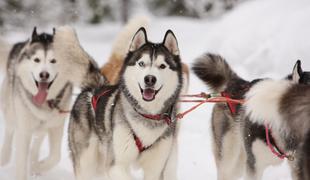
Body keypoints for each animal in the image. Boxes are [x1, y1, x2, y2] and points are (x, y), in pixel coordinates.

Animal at [0, 27, 73, 179]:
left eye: (53, 61)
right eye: (37, 60)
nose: (44, 75)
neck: (44, 103)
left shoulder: (56, 126)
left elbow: (55, 156)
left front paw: (37, 166)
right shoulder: (24, 130)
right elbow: (21, 162)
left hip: (43, 127)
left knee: (37, 142)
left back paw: (33, 162)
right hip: (11, 111)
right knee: (9, 131)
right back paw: (4, 158)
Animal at [68, 27, 182, 180]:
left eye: (162, 66)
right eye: (141, 63)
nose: (150, 79)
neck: (147, 115)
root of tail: (94, 87)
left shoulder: (155, 170)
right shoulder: (115, 165)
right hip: (87, 163)